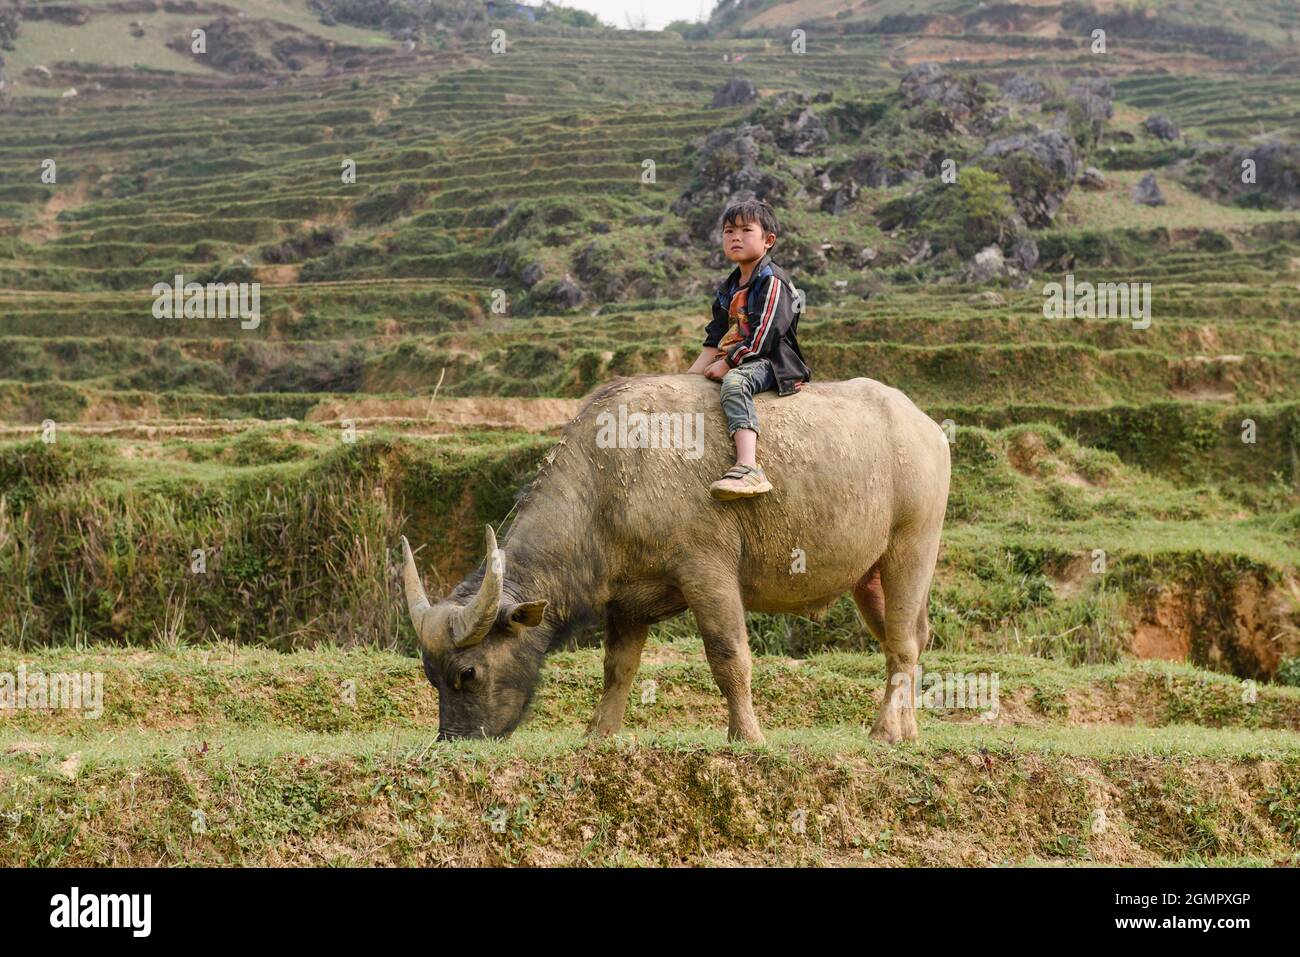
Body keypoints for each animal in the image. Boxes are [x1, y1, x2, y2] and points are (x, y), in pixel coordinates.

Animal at [400, 371, 951, 738]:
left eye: (467, 673)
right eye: (430, 676)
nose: (455, 742)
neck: (609, 478)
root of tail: (927, 428)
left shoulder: (707, 571)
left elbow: (729, 655)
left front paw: (746, 736)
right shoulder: (625, 599)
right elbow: (618, 668)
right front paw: (599, 735)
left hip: (912, 549)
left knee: (903, 644)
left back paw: (883, 732)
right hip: (869, 576)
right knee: (905, 643)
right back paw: (908, 732)